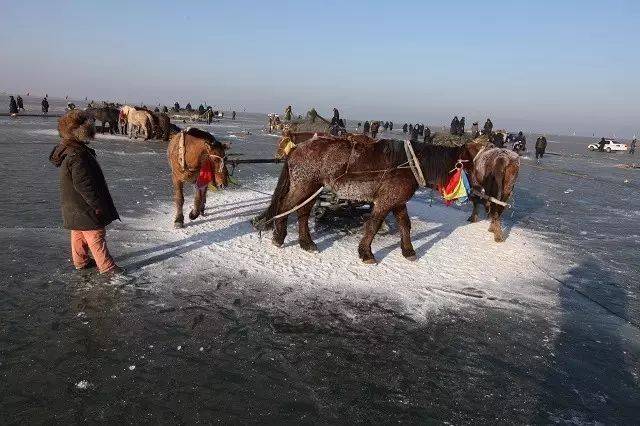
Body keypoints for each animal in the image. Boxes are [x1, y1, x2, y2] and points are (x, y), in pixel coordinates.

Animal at [252, 136, 482, 262]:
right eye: (468, 165)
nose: (479, 189)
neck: (410, 165)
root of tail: (296, 148)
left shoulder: (398, 201)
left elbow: (405, 225)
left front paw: (408, 251)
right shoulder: (385, 201)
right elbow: (373, 224)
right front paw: (366, 253)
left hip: (312, 187)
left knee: (302, 212)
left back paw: (306, 243)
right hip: (304, 186)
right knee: (286, 207)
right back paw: (279, 236)